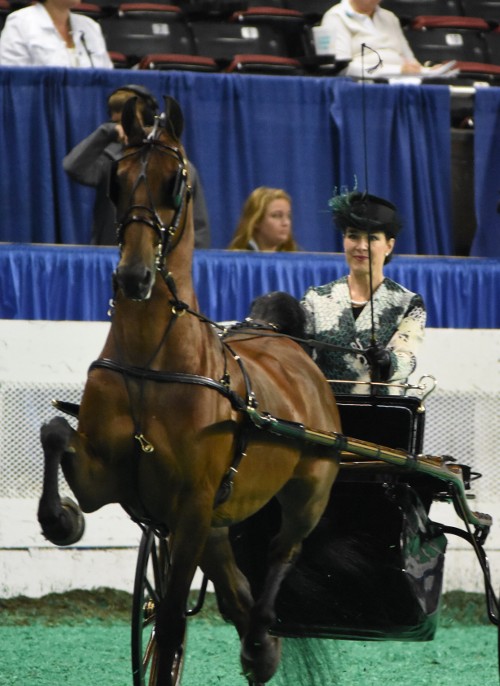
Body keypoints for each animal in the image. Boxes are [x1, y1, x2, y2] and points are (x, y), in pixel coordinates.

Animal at [38, 98, 344, 686]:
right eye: (115, 180)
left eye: (175, 182)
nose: (133, 277)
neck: (152, 363)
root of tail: (291, 349)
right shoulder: (106, 478)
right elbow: (55, 431)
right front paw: (62, 519)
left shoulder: (190, 505)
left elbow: (174, 621)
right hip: (217, 526)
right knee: (236, 587)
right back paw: (260, 647)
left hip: (306, 494)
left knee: (280, 554)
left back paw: (261, 637)